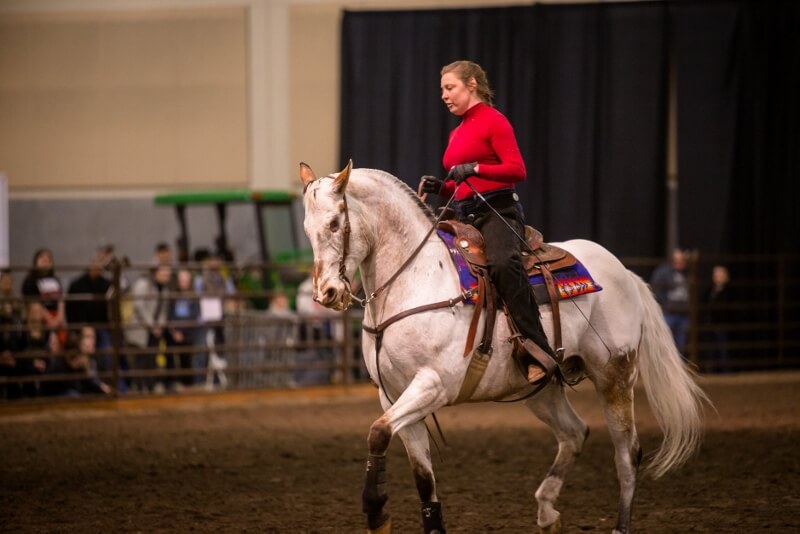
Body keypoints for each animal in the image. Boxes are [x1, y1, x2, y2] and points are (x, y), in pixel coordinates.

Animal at [298, 161, 708, 532]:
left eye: (334, 223)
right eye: (306, 230)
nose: (326, 293)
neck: (415, 278)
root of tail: (625, 272)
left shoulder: (434, 386)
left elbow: (378, 433)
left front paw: (375, 510)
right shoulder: (394, 396)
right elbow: (421, 477)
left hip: (615, 375)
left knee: (627, 454)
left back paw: (618, 524)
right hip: (541, 388)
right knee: (574, 433)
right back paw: (546, 512)